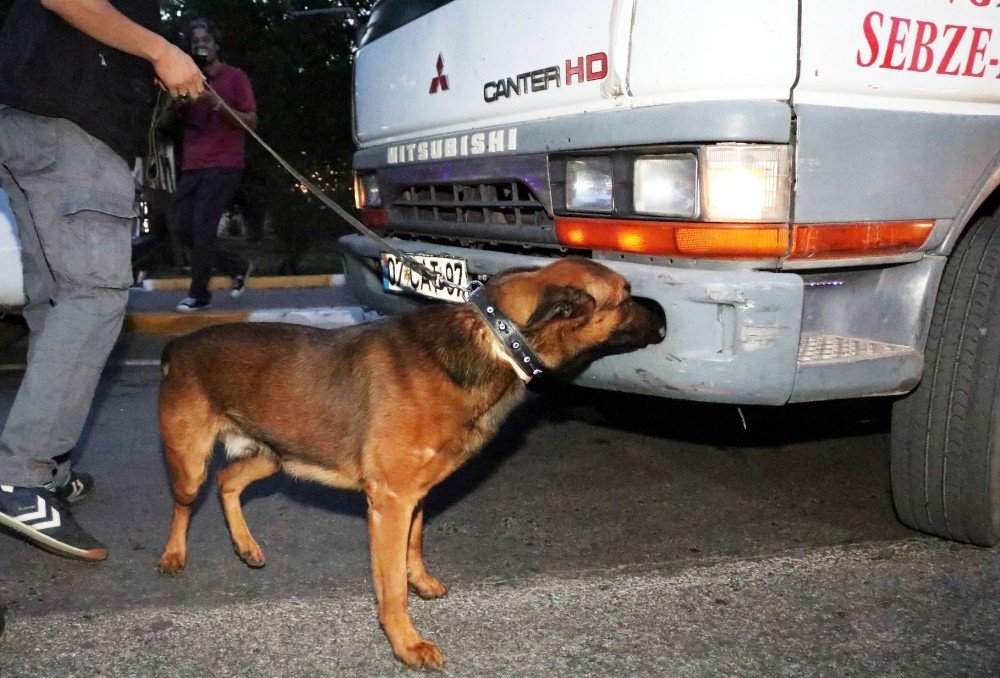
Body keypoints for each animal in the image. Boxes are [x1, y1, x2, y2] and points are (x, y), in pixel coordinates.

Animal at [154, 258, 664, 668]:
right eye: (625, 296)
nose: (663, 317)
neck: (496, 340)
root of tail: (179, 347)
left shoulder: (415, 495)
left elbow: (413, 546)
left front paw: (419, 580)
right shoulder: (391, 501)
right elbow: (391, 587)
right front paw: (406, 644)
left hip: (278, 456)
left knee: (228, 481)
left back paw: (246, 546)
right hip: (190, 464)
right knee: (185, 503)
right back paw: (173, 555)